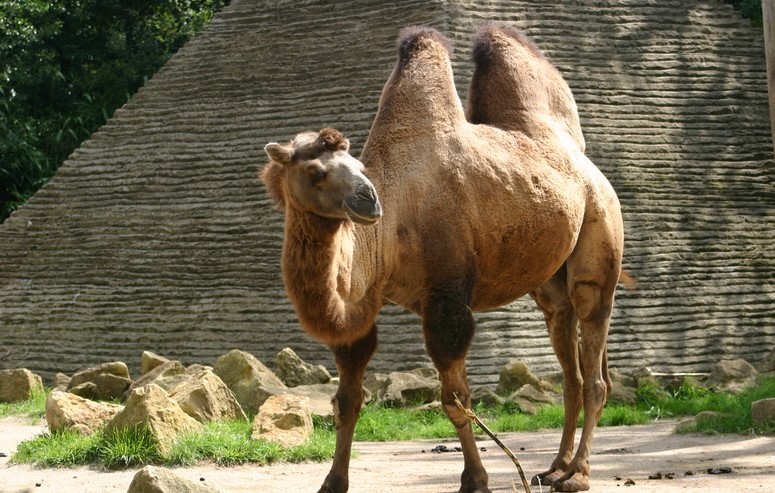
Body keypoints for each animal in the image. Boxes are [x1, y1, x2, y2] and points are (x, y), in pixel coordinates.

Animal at [261, 24, 623, 493]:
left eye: (356, 164)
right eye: (316, 171)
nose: (369, 198)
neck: (389, 233)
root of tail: (584, 161)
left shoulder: (447, 300)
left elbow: (455, 400)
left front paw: (476, 479)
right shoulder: (360, 306)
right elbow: (347, 400)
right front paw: (332, 481)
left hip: (600, 233)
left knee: (594, 354)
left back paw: (577, 474)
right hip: (551, 283)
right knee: (570, 363)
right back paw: (554, 467)